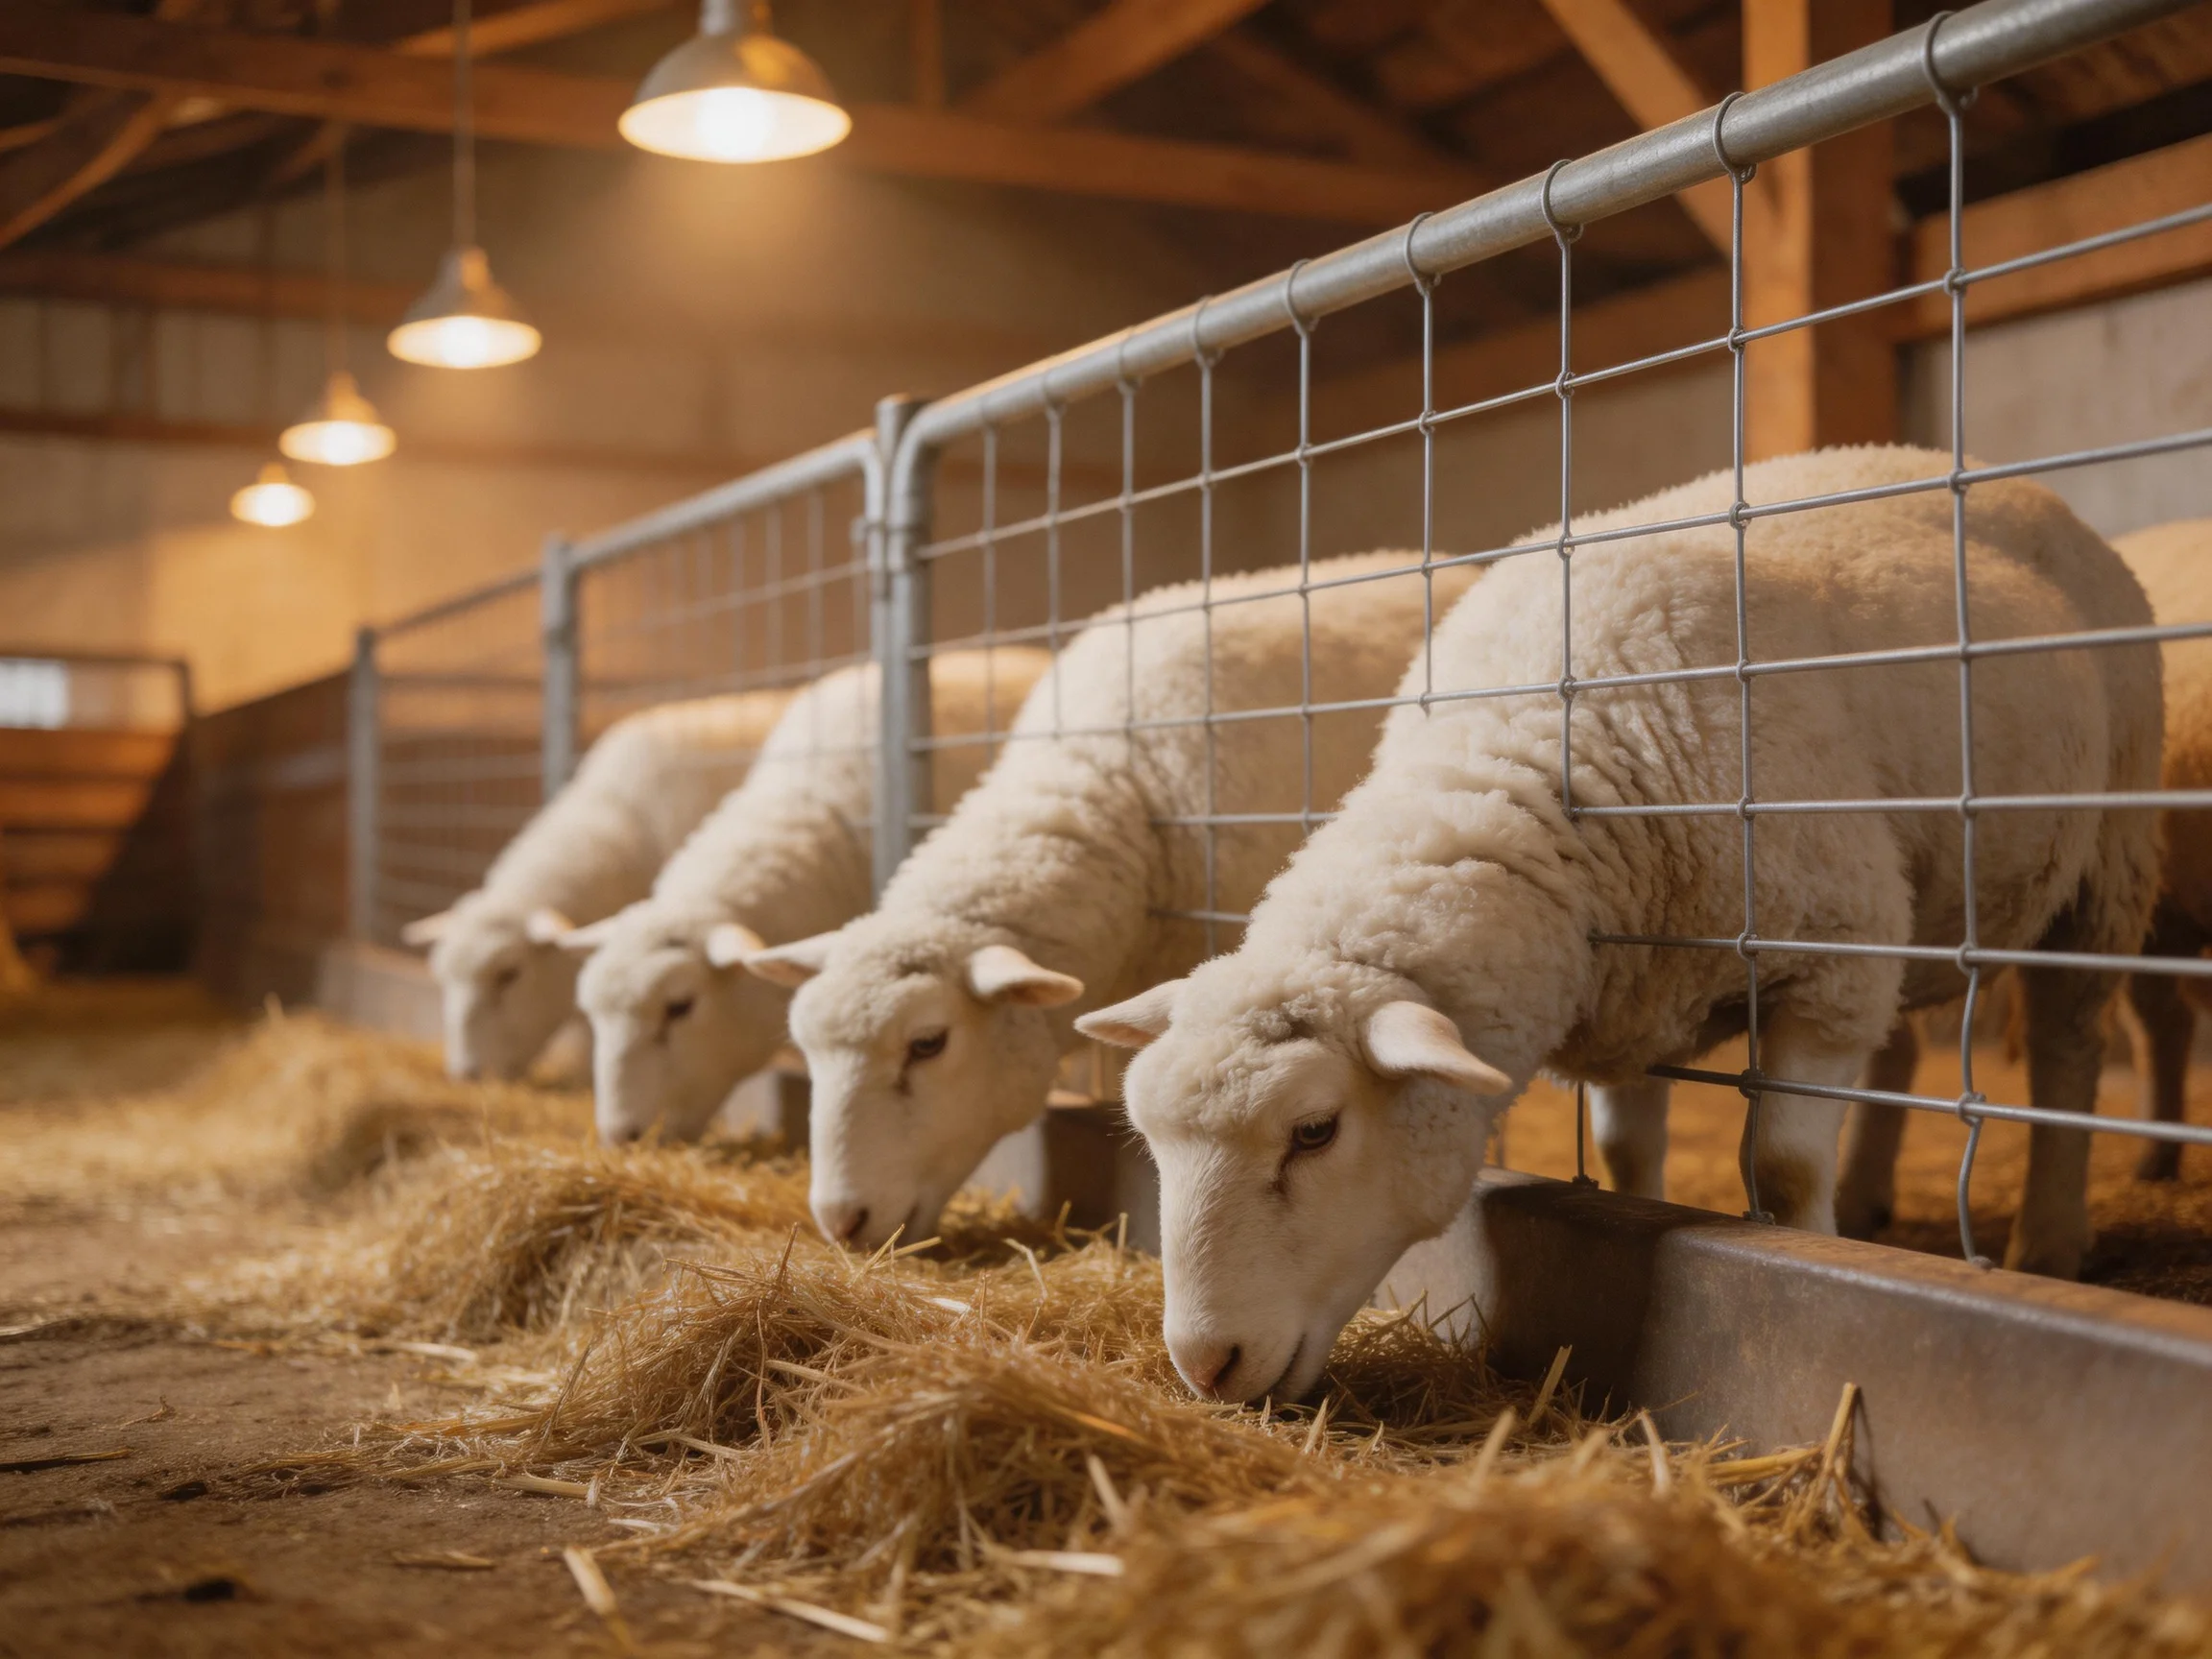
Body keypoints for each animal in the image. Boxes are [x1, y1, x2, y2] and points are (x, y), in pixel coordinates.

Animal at [1080, 446, 2161, 1403]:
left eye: (1314, 1131)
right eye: (1149, 1139)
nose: (1204, 1365)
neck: (1524, 758)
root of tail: (2013, 482)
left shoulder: (1829, 954)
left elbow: (1780, 1164)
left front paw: (1816, 1241)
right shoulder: (1639, 984)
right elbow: (1631, 1155)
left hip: (2105, 861)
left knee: (2069, 1042)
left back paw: (2047, 1236)